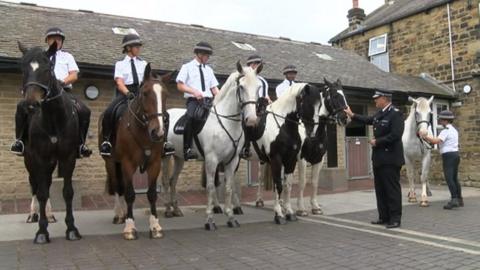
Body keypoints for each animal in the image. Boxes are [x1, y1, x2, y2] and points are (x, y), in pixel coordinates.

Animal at [17, 41, 81, 244]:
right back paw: (33, 214)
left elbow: (67, 192)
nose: (31, 104)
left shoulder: (68, 157)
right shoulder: (38, 158)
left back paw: (50, 215)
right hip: (30, 161)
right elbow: (42, 192)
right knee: (35, 186)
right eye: (23, 69)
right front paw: (42, 232)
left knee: (47, 182)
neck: (53, 119)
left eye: (47, 69)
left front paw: (71, 229)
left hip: (51, 162)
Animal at [98, 65, 172, 240]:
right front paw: (130, 228)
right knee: (118, 187)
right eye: (145, 93)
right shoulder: (127, 164)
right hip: (111, 162)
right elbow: (130, 194)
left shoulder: (155, 163)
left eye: (165, 95)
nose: (158, 132)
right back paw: (119, 215)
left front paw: (155, 227)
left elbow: (152, 194)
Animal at [161, 61, 260, 230]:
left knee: (173, 180)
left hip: (179, 157)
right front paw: (210, 220)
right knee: (166, 181)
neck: (225, 121)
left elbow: (228, 187)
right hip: (165, 157)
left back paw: (176, 210)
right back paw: (167, 210)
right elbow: (210, 186)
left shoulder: (232, 160)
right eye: (241, 87)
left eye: (259, 87)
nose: (252, 120)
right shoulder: (212, 160)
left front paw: (231, 217)